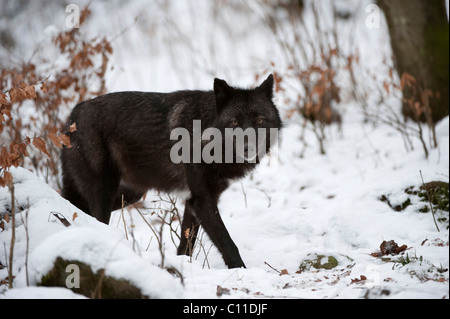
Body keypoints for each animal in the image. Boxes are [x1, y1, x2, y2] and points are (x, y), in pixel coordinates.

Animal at [60, 74, 282, 268]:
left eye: (260, 121)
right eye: (234, 123)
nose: (248, 148)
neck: (206, 136)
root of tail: (73, 114)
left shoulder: (195, 201)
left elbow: (187, 244)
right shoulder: (203, 199)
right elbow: (227, 242)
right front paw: (241, 269)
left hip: (129, 195)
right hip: (106, 193)